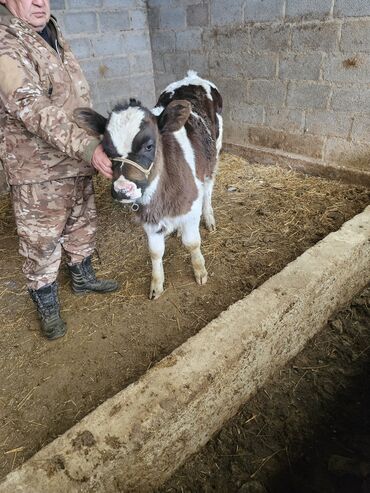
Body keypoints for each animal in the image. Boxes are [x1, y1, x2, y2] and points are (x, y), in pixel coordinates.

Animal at [73, 70, 221, 298]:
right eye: (106, 149)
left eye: (149, 146)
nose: (123, 190)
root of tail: (191, 77)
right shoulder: (149, 217)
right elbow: (155, 252)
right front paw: (156, 285)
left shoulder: (191, 206)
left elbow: (192, 242)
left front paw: (200, 271)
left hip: (214, 155)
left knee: (208, 191)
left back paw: (209, 218)